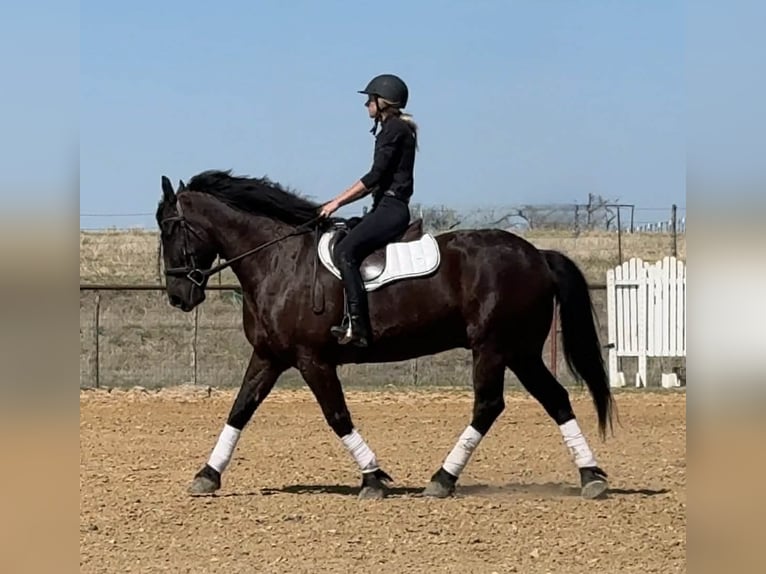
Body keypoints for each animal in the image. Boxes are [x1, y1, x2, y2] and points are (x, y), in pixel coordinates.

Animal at [156, 169, 616, 500]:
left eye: (169, 229)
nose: (178, 296)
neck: (278, 260)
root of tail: (537, 255)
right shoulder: (270, 356)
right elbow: (239, 410)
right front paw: (206, 475)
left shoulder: (312, 359)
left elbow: (337, 416)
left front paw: (373, 478)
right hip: (520, 351)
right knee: (555, 398)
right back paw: (591, 476)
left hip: (493, 347)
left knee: (489, 405)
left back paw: (443, 479)